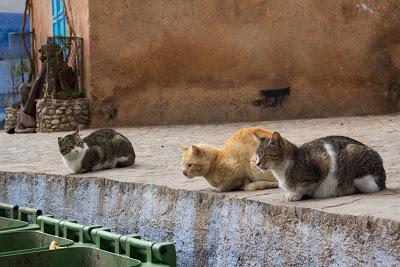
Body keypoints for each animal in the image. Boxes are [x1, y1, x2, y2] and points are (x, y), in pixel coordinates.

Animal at [255, 133, 386, 202]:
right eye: (256, 156)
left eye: (265, 155)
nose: (257, 164)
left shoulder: (322, 163)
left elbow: (302, 187)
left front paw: (294, 194)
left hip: (353, 154)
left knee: (370, 187)